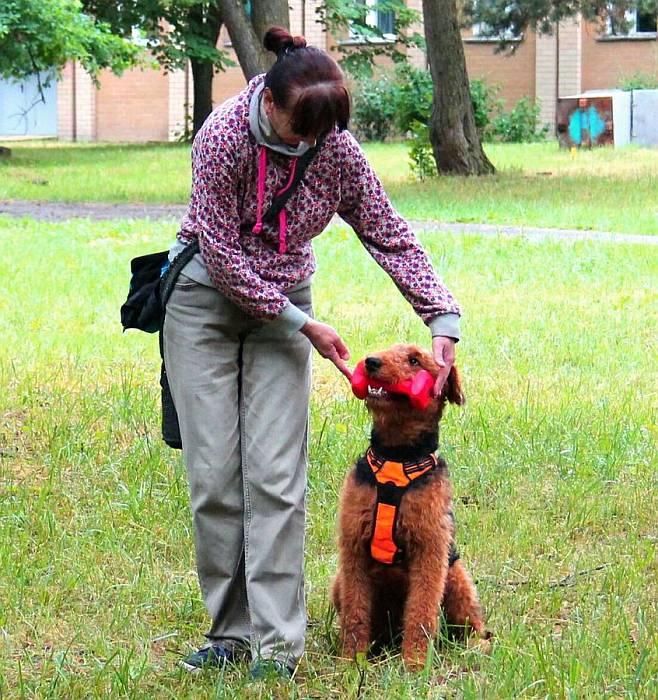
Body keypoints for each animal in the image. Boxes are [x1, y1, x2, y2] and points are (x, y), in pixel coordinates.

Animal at [334, 348, 482, 668]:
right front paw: (352, 660)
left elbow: (421, 613)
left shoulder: (429, 548)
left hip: (456, 576)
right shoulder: (353, 546)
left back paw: (478, 646)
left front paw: (414, 663)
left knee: (472, 623)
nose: (371, 362)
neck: (396, 458)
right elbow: (355, 614)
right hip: (339, 583)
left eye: (415, 360)